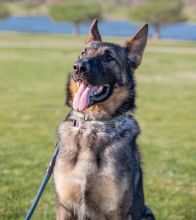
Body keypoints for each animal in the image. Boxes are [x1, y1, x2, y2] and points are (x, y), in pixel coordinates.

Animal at [53, 19, 155, 219]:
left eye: (109, 58)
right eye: (83, 53)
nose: (78, 67)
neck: (92, 125)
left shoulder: (116, 211)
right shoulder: (64, 207)